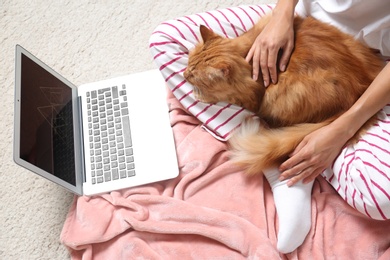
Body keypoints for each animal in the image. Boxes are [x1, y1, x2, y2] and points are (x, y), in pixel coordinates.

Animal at [184, 15, 384, 175]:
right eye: (188, 64)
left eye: (194, 76)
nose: (184, 74)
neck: (246, 58)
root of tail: (358, 89)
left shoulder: (252, 98)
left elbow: (226, 96)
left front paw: (200, 95)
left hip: (288, 97)